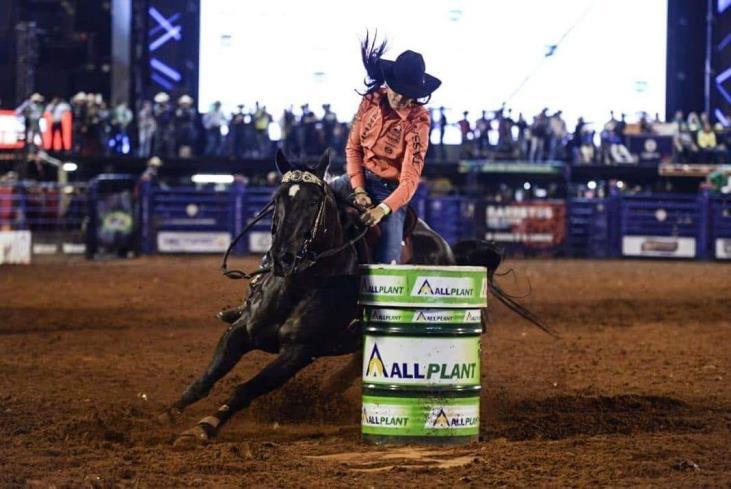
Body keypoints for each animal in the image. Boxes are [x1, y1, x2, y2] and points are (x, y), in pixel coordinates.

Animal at [160, 149, 548, 442]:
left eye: (314, 201)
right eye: (276, 200)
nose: (283, 257)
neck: (301, 282)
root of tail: (448, 249)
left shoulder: (298, 353)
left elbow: (246, 389)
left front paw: (203, 427)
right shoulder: (240, 331)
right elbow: (207, 376)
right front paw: (169, 412)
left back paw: (330, 390)